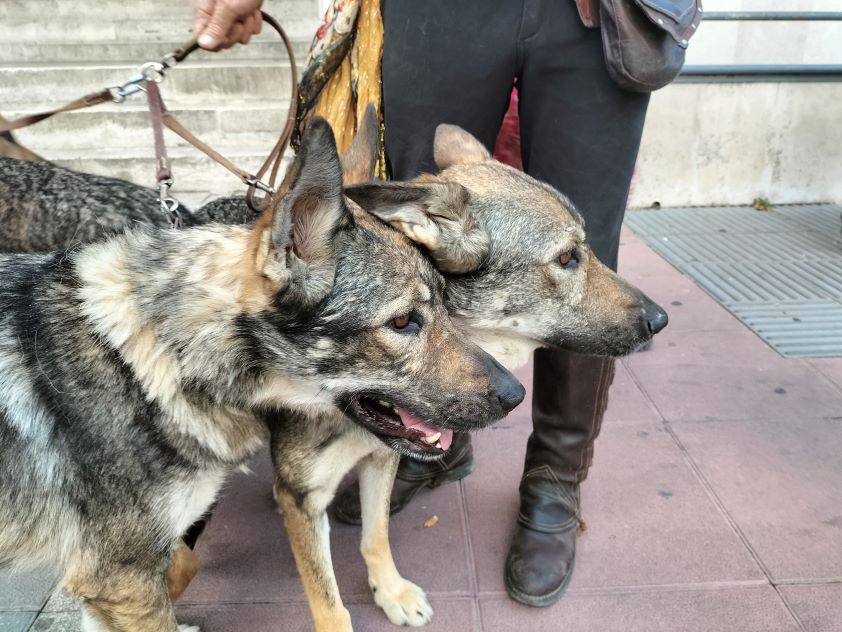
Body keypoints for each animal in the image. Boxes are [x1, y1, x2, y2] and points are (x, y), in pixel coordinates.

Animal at [0, 119, 520, 632]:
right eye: (403, 321)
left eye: (446, 303)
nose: (516, 395)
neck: (164, 355)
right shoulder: (124, 572)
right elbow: (327, 604)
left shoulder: (377, 461)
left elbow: (376, 536)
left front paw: (392, 593)